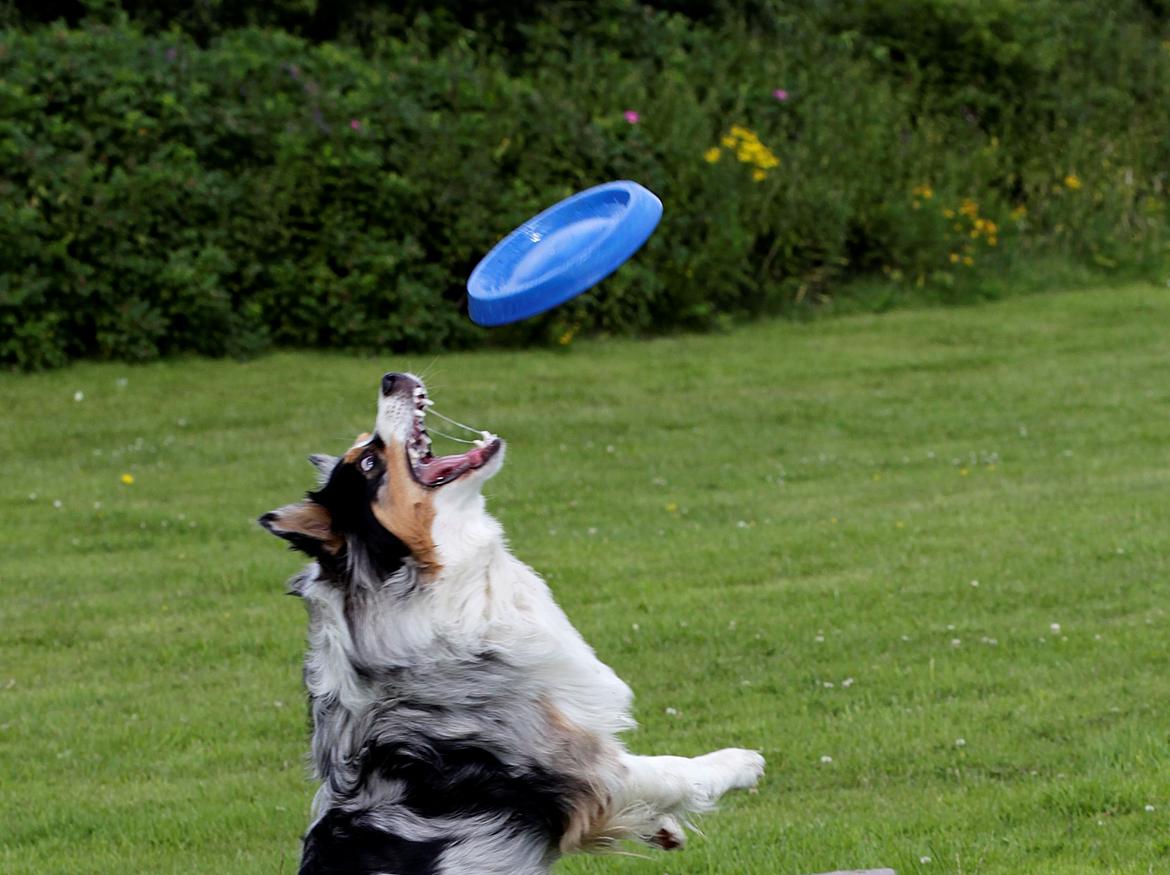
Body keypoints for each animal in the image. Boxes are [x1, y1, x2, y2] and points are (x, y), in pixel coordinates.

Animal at [260, 371, 762, 870]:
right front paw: (740, 762)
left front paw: (662, 825)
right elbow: (667, 769)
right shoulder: (576, 762)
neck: (434, 585)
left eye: (364, 445)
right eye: (368, 462)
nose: (390, 378)